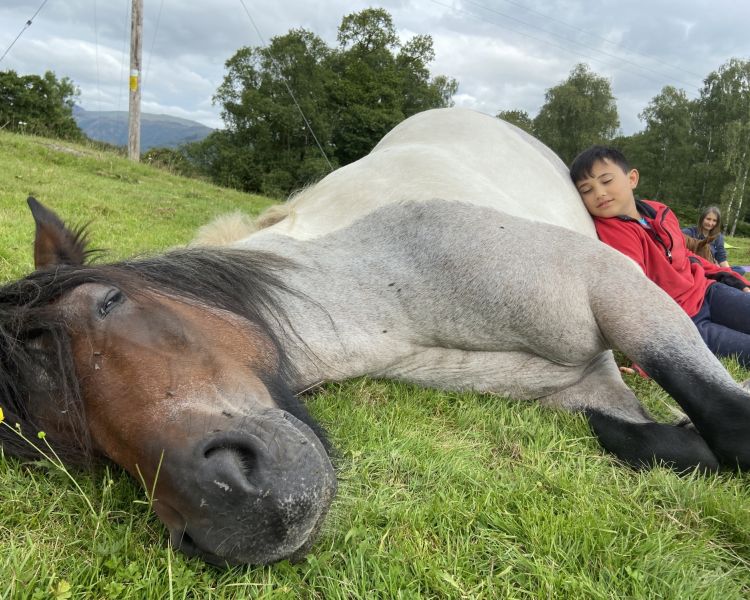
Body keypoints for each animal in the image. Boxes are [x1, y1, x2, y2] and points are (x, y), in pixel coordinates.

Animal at [1, 108, 749, 567]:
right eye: (56, 442)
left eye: (110, 302)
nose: (223, 507)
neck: (373, 282)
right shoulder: (580, 384)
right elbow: (652, 436)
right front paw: (673, 432)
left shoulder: (611, 287)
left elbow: (729, 423)